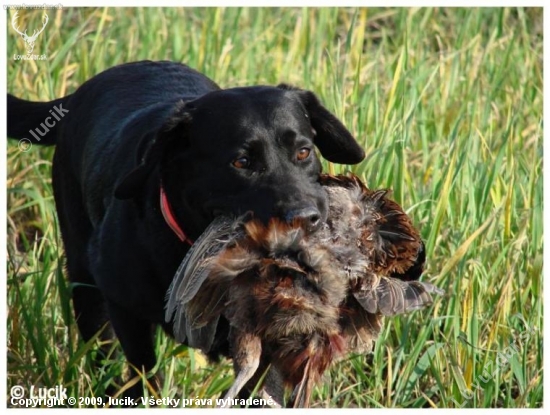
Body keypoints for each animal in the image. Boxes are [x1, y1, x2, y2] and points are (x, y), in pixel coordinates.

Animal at [6, 61, 366, 400]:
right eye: (241, 162)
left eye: (303, 152)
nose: (306, 217)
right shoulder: (125, 311)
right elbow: (143, 379)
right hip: (84, 280)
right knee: (100, 352)